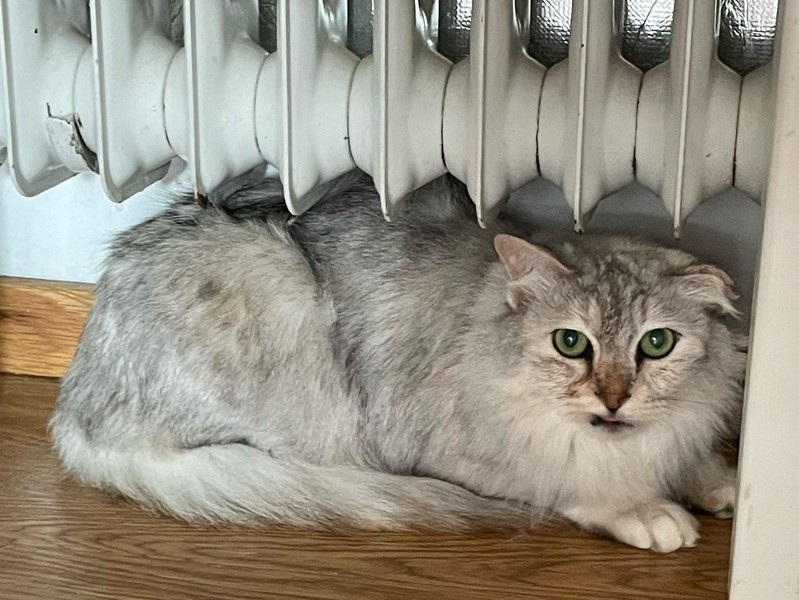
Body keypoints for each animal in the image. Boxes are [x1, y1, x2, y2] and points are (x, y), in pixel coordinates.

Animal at [50, 172, 747, 553]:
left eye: (656, 345)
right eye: (571, 344)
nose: (614, 398)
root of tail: (71, 410)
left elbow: (689, 455)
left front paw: (726, 483)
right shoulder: (450, 452)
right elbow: (570, 480)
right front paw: (647, 509)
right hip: (285, 307)